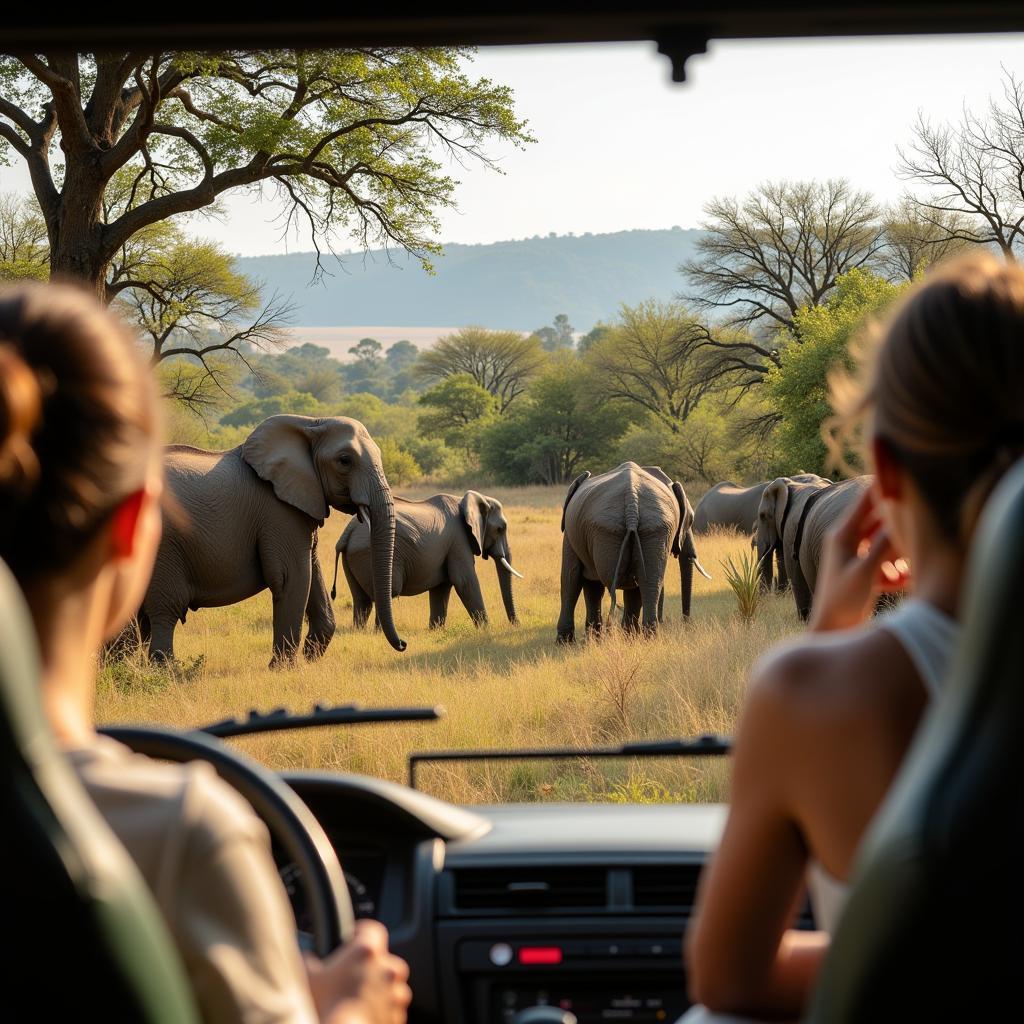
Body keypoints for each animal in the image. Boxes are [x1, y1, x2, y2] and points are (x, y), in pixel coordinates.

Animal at [140, 413, 403, 663]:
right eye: (344, 461)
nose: (403, 644)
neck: (311, 423)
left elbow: (313, 570)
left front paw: (310, 657)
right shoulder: (278, 512)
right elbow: (292, 577)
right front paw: (285, 668)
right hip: (164, 545)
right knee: (165, 610)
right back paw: (165, 669)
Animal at [331, 489, 524, 626]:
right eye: (501, 528)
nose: (515, 624)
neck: (465, 500)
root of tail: (349, 531)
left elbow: (441, 587)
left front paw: (435, 630)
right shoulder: (458, 540)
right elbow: (464, 581)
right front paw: (486, 629)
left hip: (354, 556)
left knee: (361, 601)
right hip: (368, 553)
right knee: (387, 593)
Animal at [552, 462, 712, 638]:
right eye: (690, 521)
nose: (686, 623)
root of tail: (631, 504)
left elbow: (576, 579)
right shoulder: (572, 532)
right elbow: (574, 577)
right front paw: (581, 639)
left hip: (646, 529)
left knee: (644, 582)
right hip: (642, 529)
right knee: (646, 581)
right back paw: (647, 636)